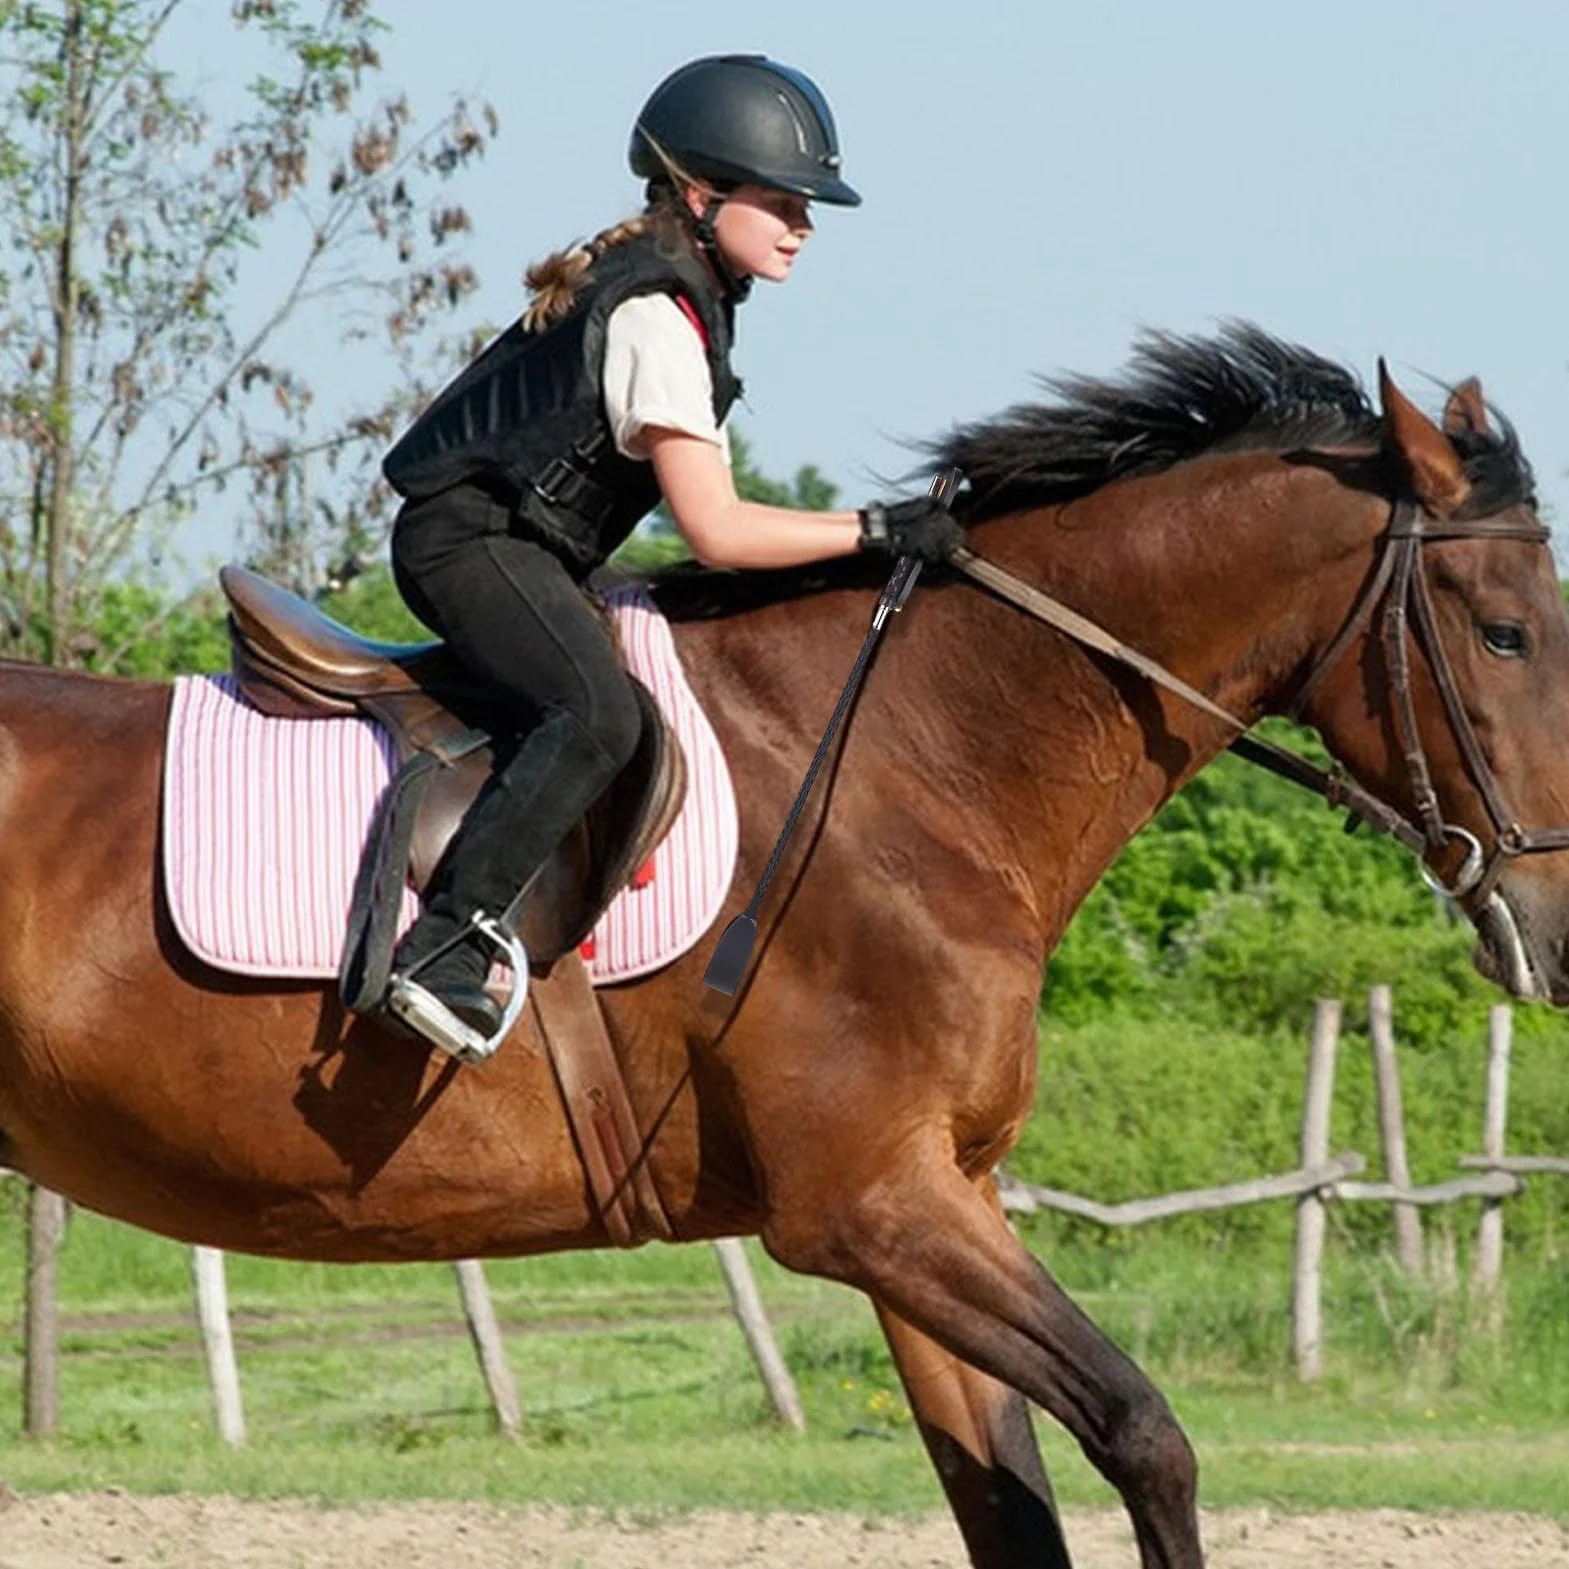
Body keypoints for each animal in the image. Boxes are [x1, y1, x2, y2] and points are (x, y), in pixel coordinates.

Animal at [3, 324, 1568, 1569]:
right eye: (1504, 635)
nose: (1553, 937)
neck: (919, 759)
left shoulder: (945, 1200)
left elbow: (1014, 1507)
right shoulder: (871, 1209)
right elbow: (1144, 1433)